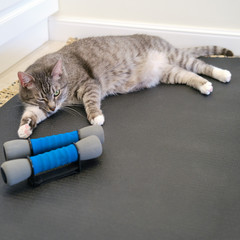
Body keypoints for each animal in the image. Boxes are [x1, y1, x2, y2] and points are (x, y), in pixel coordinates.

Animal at [18, 34, 232, 138]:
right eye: (41, 97)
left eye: (56, 92)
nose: (53, 106)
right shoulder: (38, 107)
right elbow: (32, 115)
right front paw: (25, 128)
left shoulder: (90, 84)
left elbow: (91, 101)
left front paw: (96, 116)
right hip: (170, 72)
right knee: (190, 75)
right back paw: (204, 85)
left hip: (178, 57)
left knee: (201, 66)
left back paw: (222, 74)